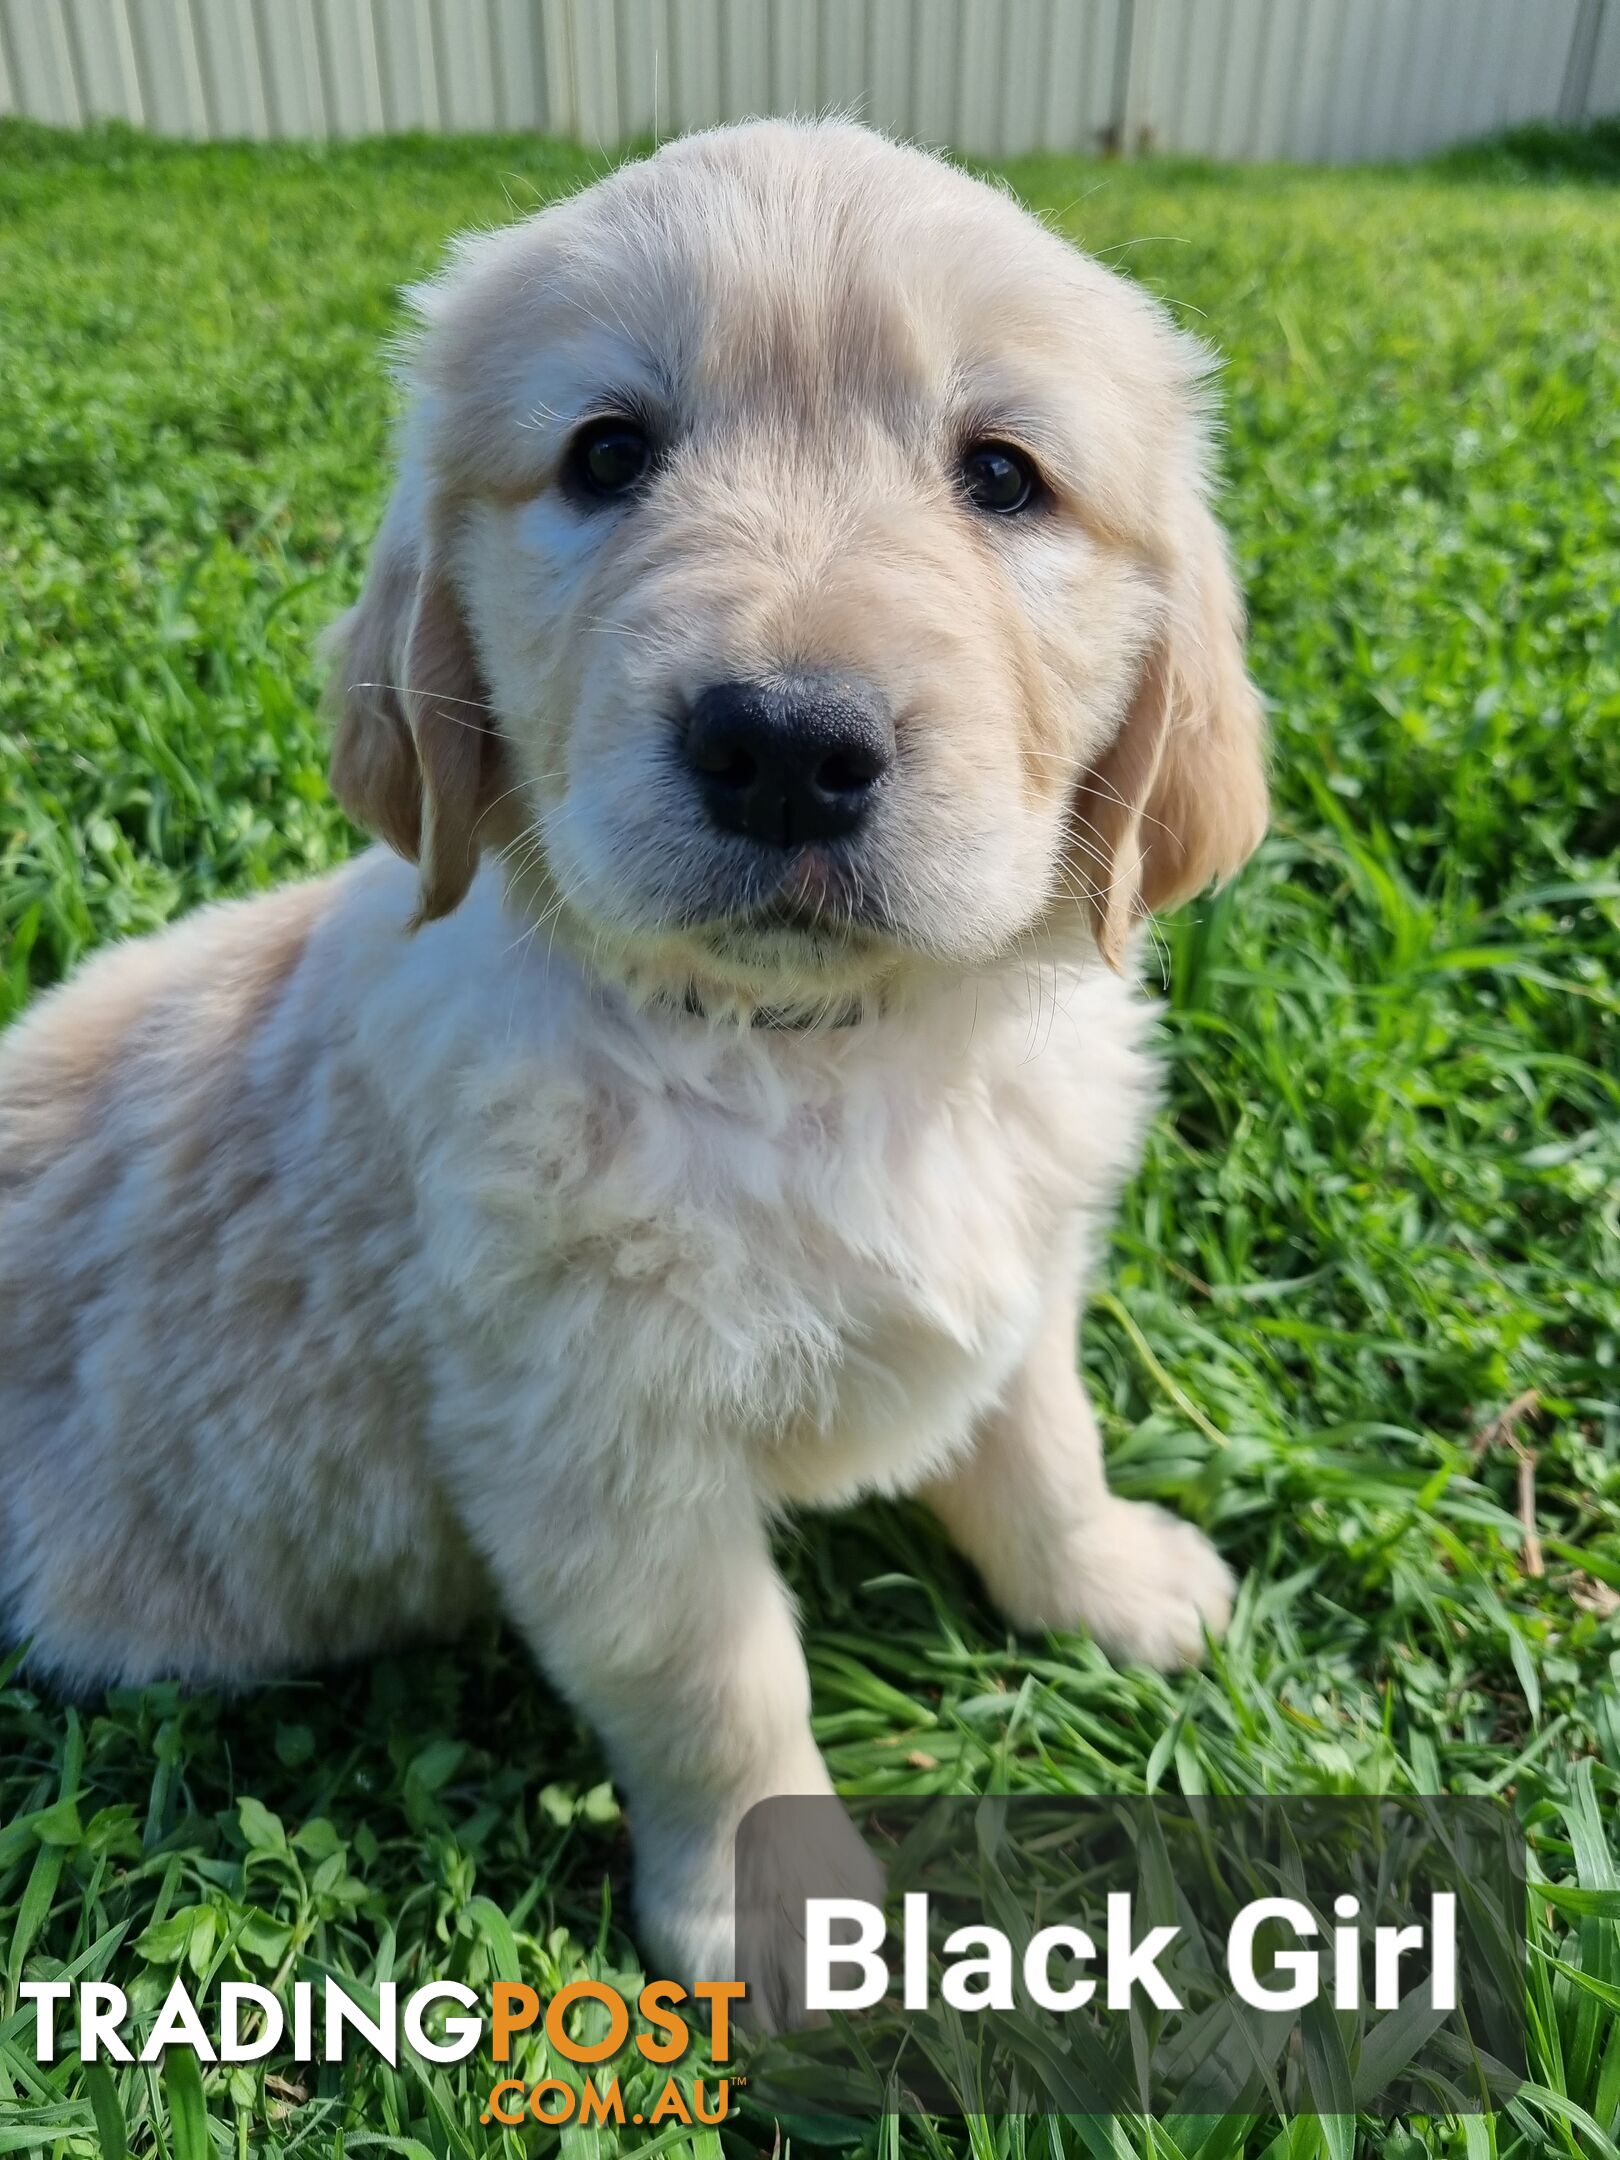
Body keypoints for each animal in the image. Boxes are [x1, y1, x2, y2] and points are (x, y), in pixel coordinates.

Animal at [0, 126, 1270, 1995]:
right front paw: (786, 1910)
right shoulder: (593, 1449)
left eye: (1004, 476)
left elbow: (1046, 1444)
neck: (814, 1055)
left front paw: (1109, 1584)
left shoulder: (1021, 1266)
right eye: (608, 454)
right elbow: (719, 1687)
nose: (788, 746)